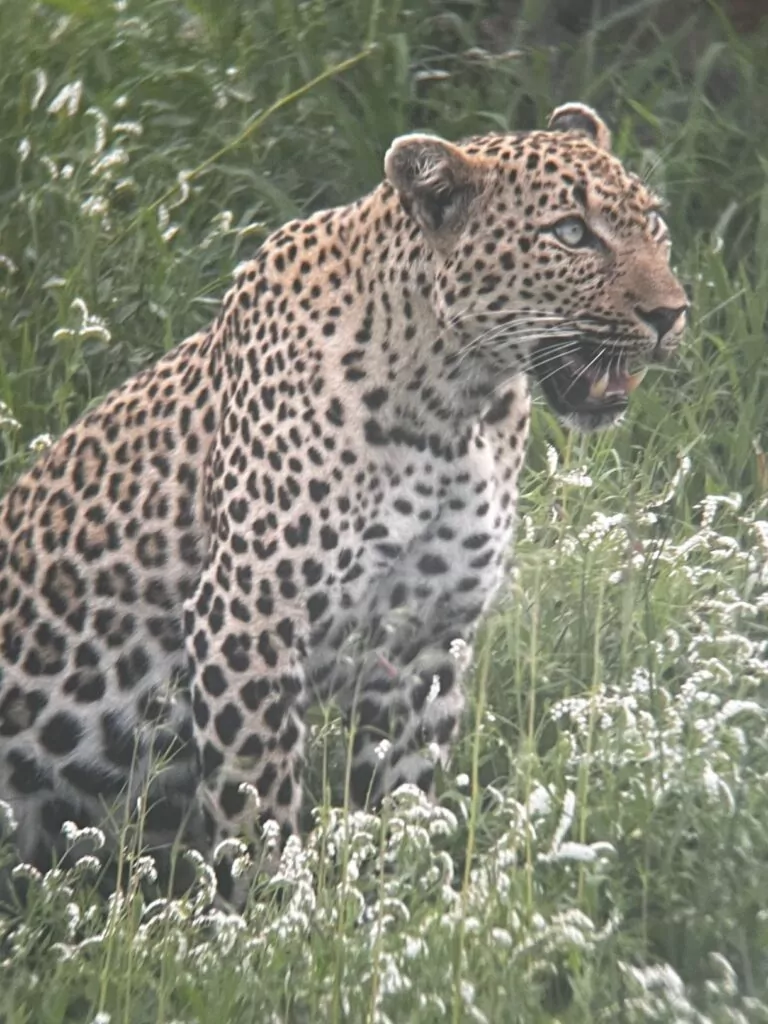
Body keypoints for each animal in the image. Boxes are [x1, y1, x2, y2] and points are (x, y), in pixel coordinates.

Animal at [0, 102, 688, 905]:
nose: (672, 314)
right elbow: (258, 809)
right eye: (572, 233)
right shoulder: (248, 620)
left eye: (654, 223)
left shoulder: (425, 637)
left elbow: (402, 797)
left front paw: (397, 903)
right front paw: (276, 919)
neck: (454, 408)